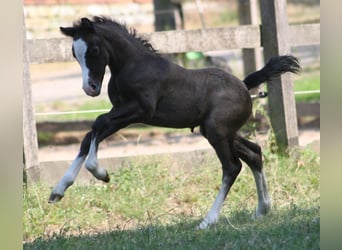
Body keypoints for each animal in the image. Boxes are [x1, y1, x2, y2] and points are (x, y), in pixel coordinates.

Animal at [47, 16, 300, 229]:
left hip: (217, 132)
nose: (90, 88)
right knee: (254, 153)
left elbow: (98, 124)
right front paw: (59, 190)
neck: (132, 66)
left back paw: (208, 221)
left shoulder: (139, 110)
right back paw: (262, 209)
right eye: (74, 53)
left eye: (95, 49)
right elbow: (90, 134)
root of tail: (245, 85)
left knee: (232, 167)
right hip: (218, 131)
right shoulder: (120, 111)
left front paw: (101, 173)